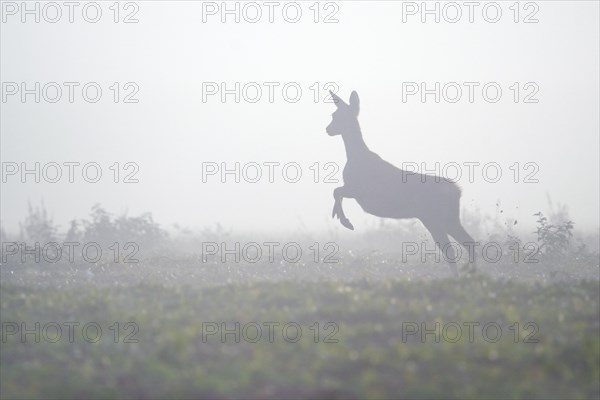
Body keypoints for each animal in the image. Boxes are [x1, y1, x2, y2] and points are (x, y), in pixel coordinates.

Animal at [326, 90, 476, 276]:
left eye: (336, 115)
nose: (327, 129)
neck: (356, 156)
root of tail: (457, 191)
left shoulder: (359, 190)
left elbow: (336, 190)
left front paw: (344, 220)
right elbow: (336, 191)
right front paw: (339, 216)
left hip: (434, 217)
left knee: (451, 250)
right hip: (448, 217)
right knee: (468, 243)